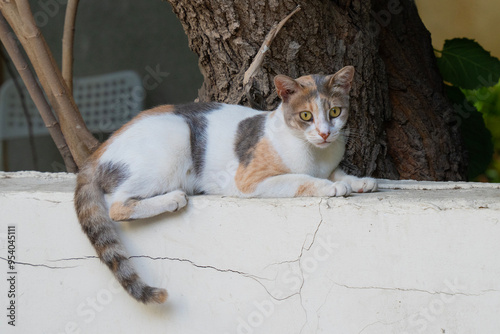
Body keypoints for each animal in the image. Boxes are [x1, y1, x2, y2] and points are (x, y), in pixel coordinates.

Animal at [74, 64, 376, 302]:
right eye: (306, 116)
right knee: (117, 205)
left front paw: (359, 181)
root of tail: (97, 152)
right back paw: (173, 198)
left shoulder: (330, 161)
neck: (316, 153)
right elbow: (302, 179)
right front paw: (331, 187)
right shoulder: (249, 180)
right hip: (172, 143)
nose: (325, 133)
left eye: (335, 112)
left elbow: (337, 171)